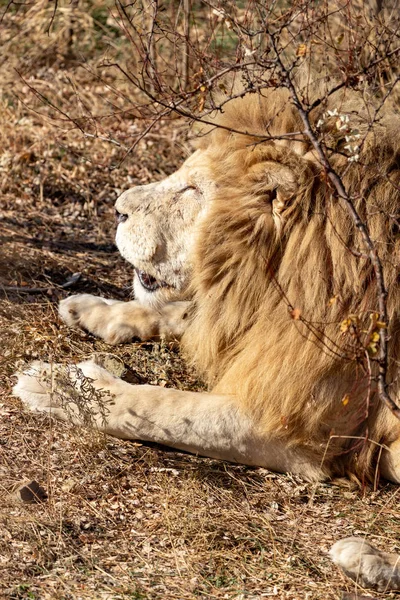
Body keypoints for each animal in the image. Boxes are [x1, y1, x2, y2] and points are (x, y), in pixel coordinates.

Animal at [12, 81, 400, 592]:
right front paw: (95, 309)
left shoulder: (299, 429)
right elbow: (185, 314)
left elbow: (163, 406)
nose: (116, 209)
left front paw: (57, 385)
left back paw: (366, 559)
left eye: (193, 189)